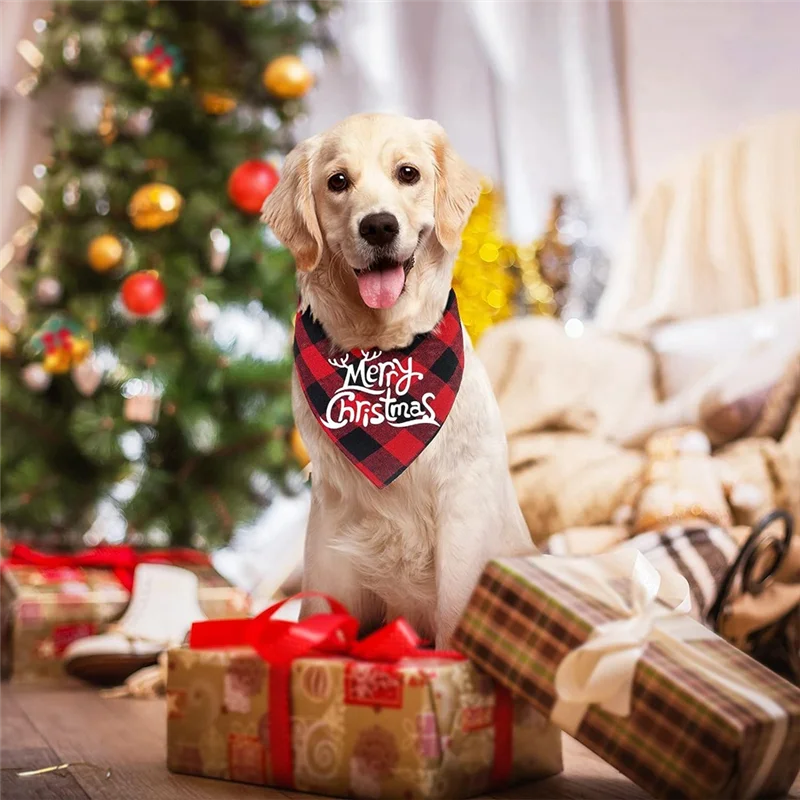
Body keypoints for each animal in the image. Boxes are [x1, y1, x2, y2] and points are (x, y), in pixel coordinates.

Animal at [264, 114, 536, 648]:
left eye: (407, 173)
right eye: (338, 181)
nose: (378, 225)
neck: (383, 356)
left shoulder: (463, 513)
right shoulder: (331, 525)